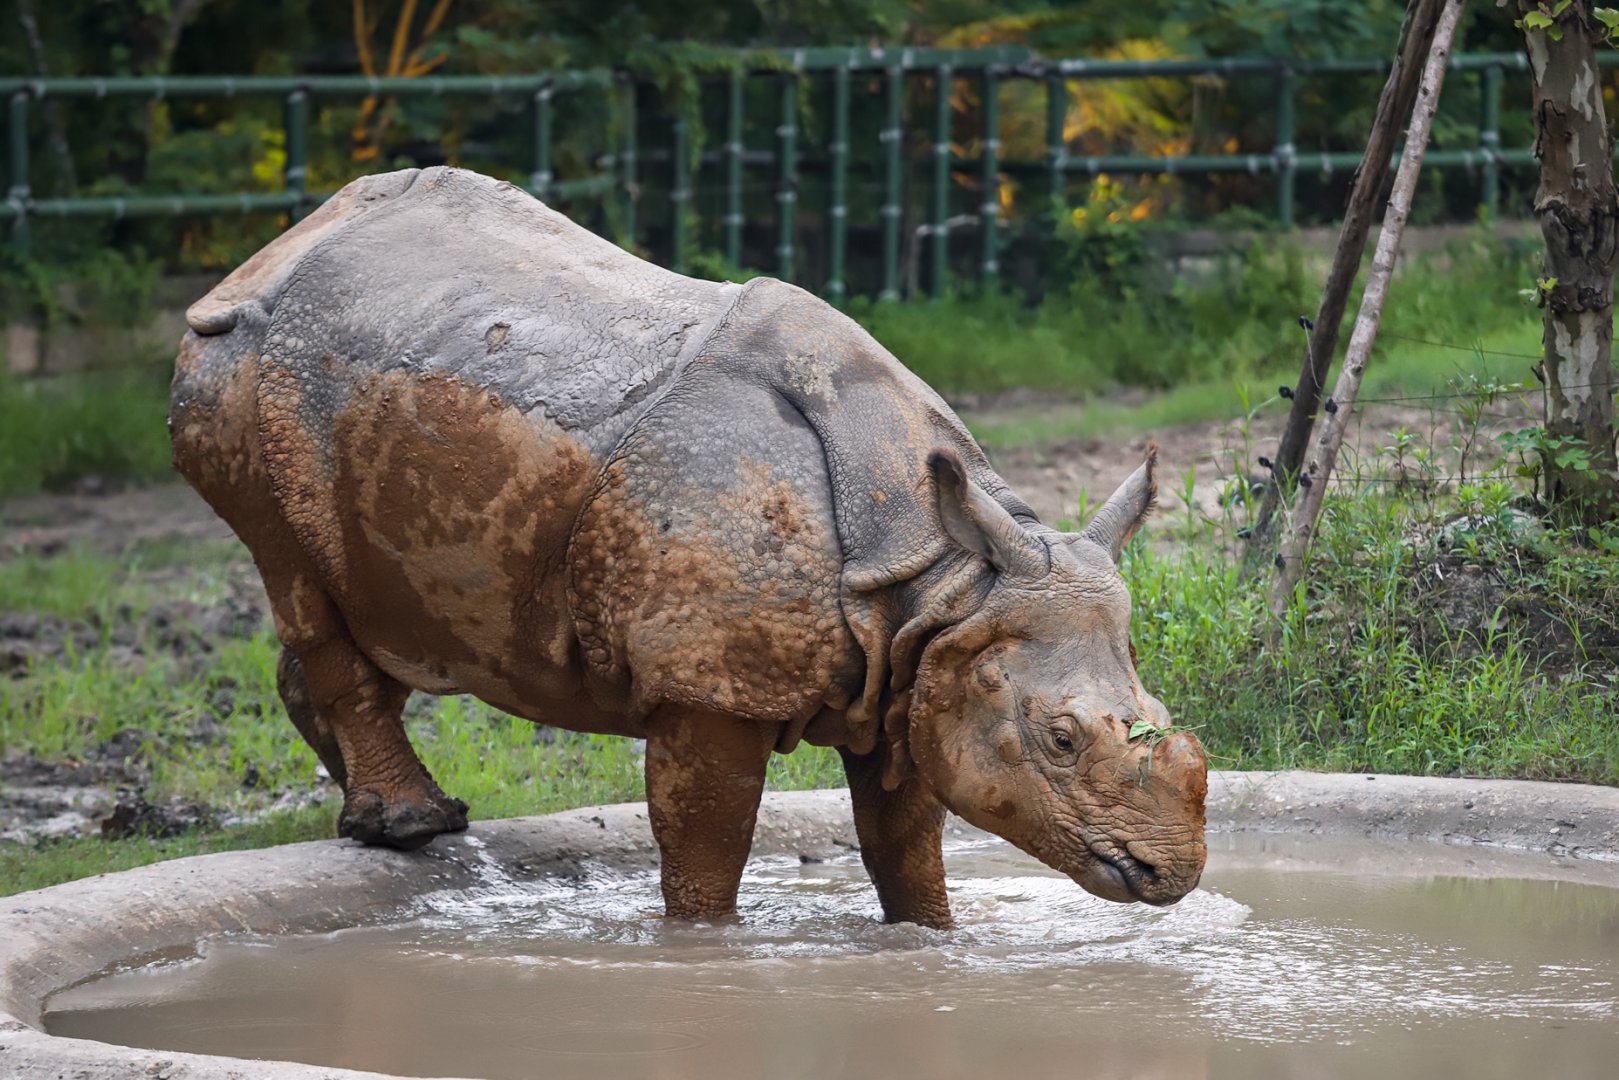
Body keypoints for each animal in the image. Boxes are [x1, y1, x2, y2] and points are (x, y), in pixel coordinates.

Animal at [170, 166, 1207, 929]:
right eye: (1060, 740)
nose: (1172, 875)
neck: (945, 571)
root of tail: (260, 261)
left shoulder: (923, 659)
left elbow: (905, 841)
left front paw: (930, 940)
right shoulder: (708, 685)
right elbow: (706, 846)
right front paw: (701, 948)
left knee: (344, 593)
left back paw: (385, 828)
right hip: (235, 371)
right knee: (287, 567)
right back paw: (412, 827)